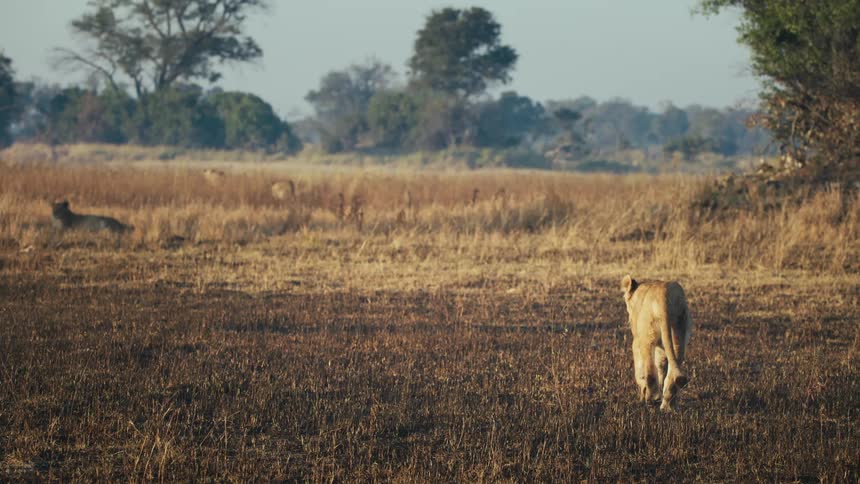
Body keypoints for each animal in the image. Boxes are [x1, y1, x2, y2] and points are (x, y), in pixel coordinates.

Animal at [621, 274, 693, 411]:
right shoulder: (661, 346)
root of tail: (664, 297)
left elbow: (641, 370)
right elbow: (660, 365)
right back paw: (667, 407)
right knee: (671, 372)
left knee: (650, 371)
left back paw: (652, 399)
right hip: (679, 332)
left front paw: (642, 394)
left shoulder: (637, 341)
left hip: (647, 337)